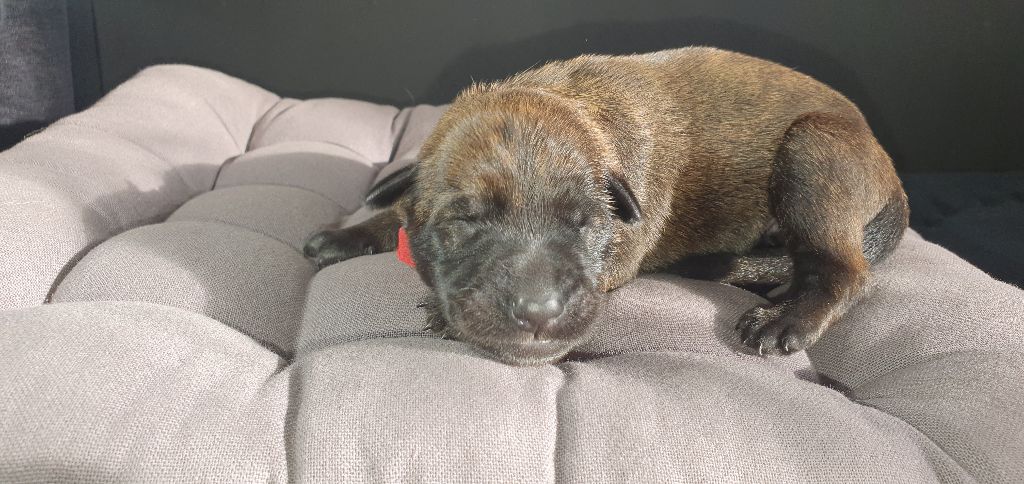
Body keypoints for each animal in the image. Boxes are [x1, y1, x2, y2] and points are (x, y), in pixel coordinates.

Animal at [304, 47, 908, 365]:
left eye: (583, 224)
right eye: (465, 221)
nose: (539, 313)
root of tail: (892, 177)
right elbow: (396, 208)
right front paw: (350, 233)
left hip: (811, 148)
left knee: (845, 268)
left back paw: (787, 318)